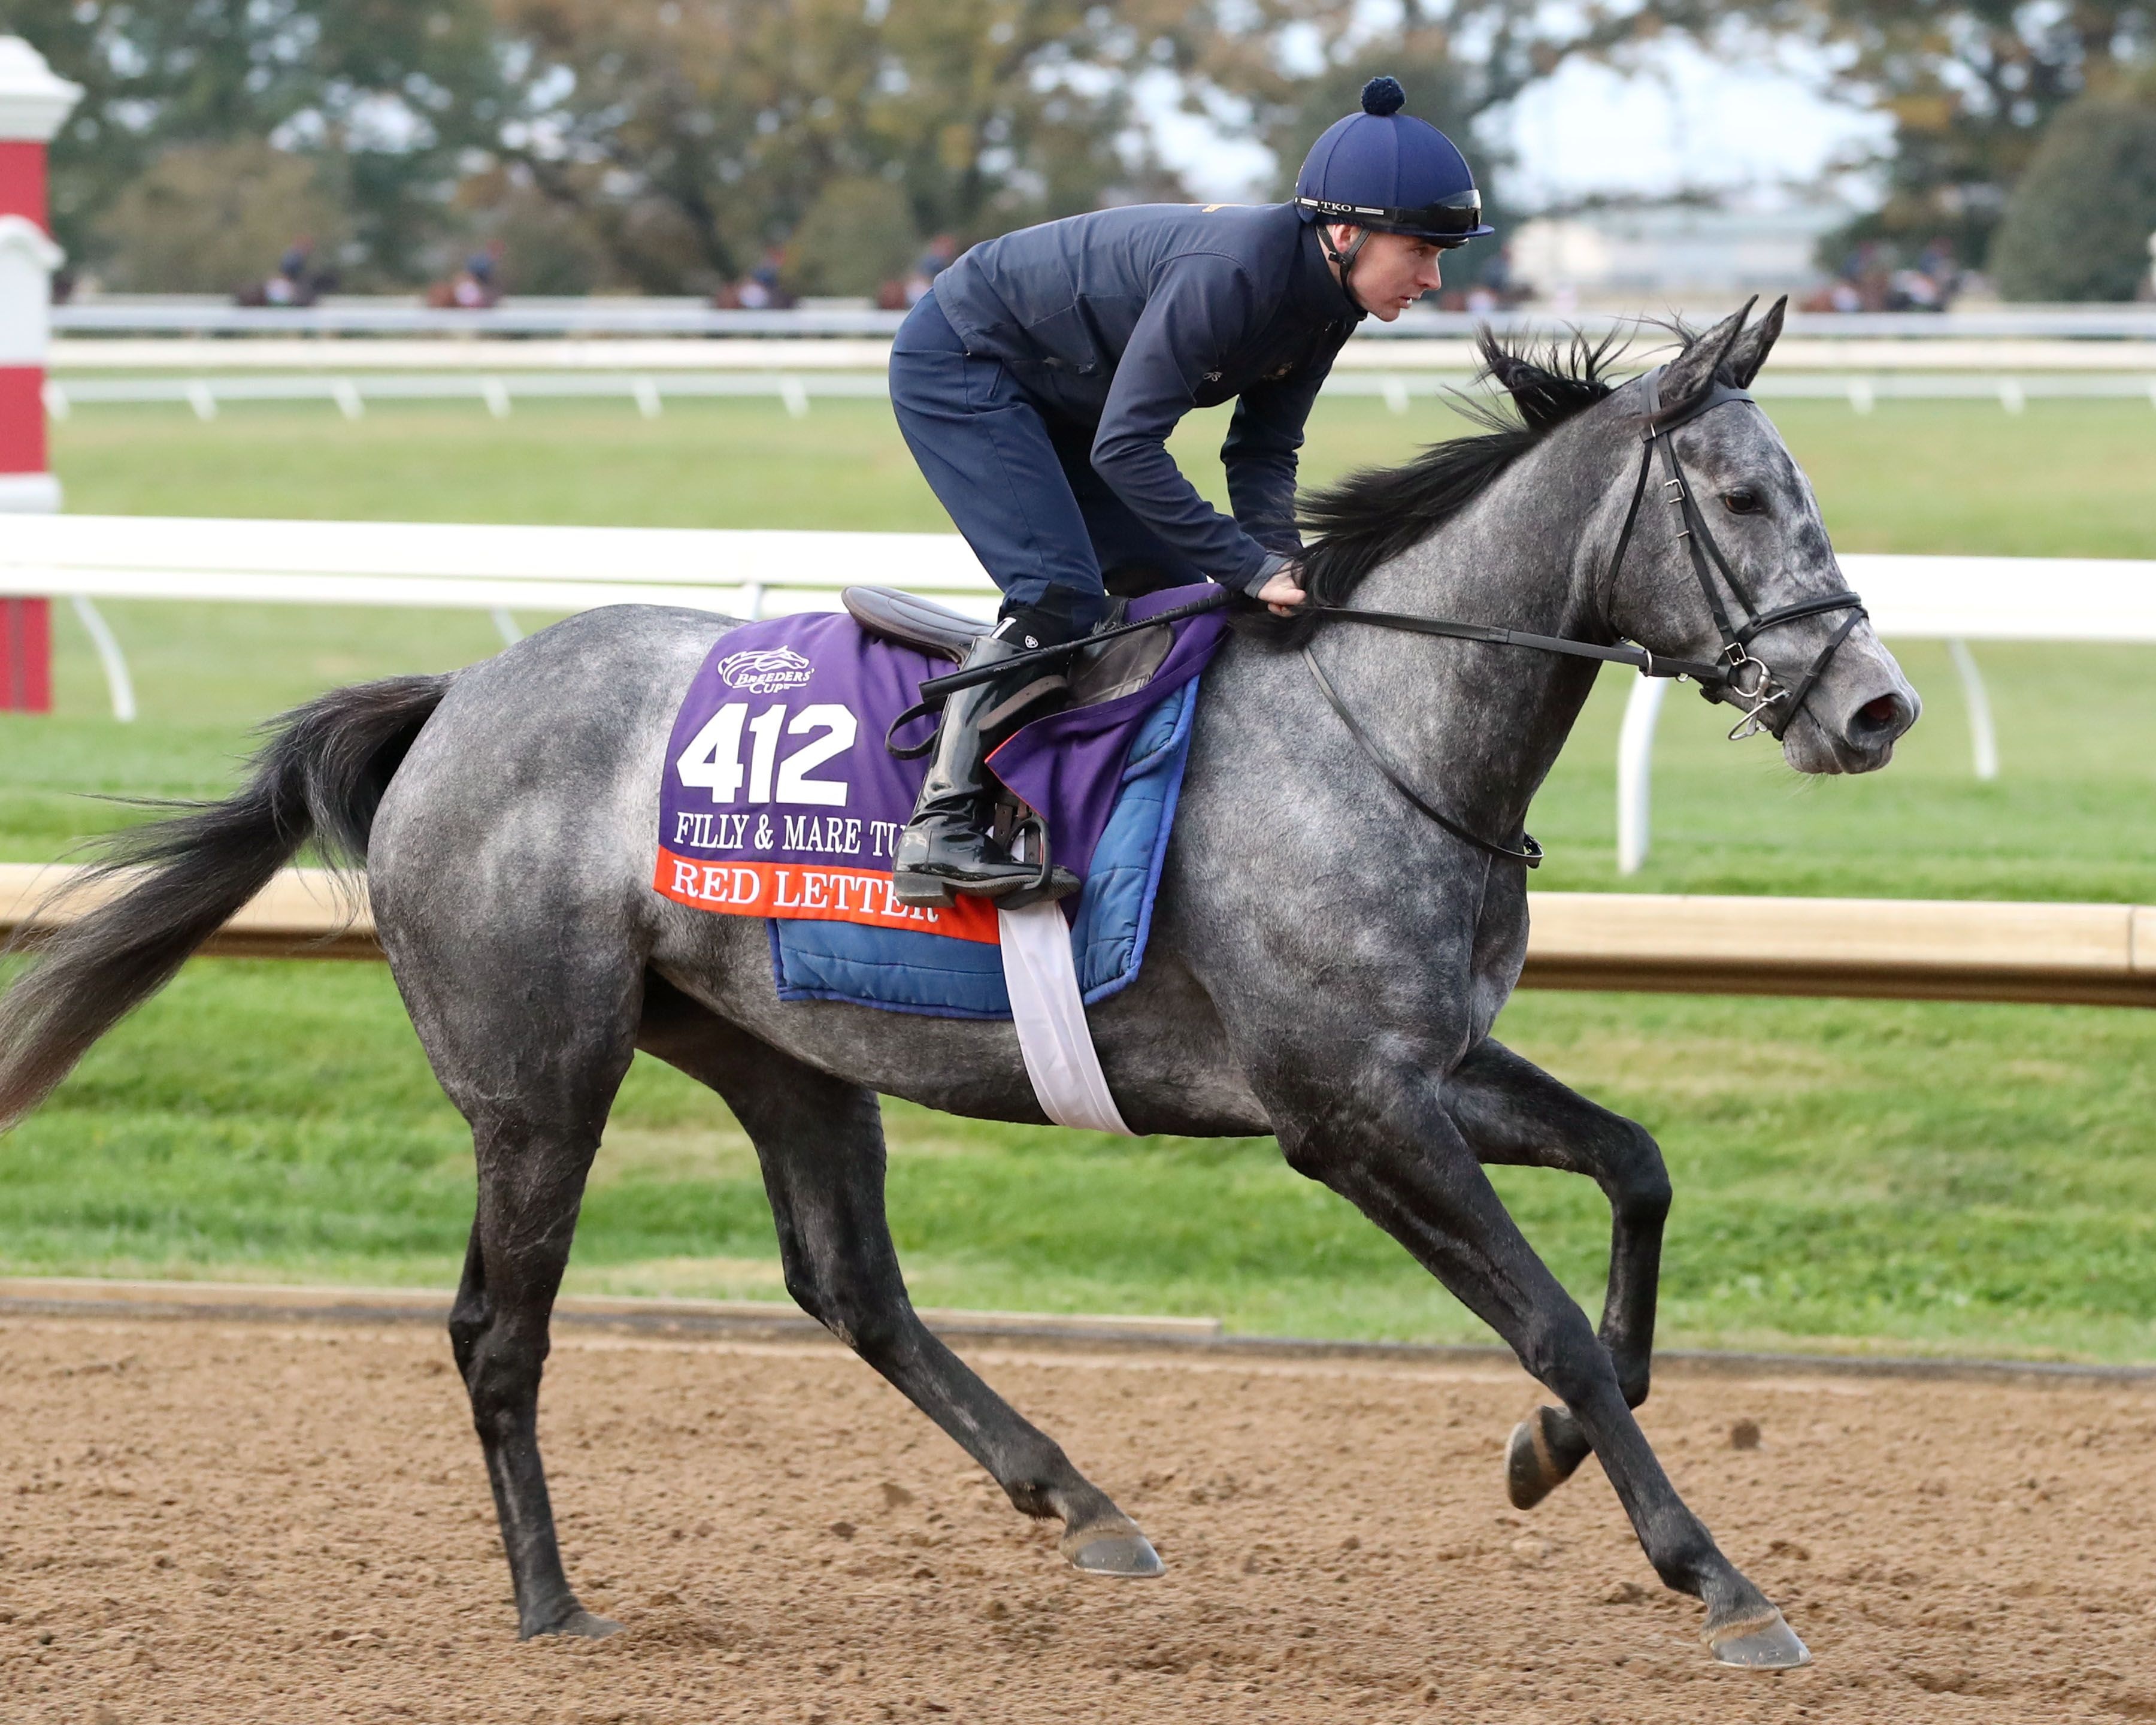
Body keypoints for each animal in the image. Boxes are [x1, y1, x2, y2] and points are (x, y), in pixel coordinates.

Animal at [0, 300, 1917, 1667]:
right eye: (1741, 499)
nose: (1875, 706)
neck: (1379, 727)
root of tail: (453, 696)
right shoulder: (1348, 1111)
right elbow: (1546, 1323)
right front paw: (1718, 1576)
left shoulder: (1430, 1065)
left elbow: (1639, 1179)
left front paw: (1546, 1452)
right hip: (539, 1076)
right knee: (497, 1325)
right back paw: (552, 1604)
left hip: (781, 1047)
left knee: (848, 1286)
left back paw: (1078, 1499)